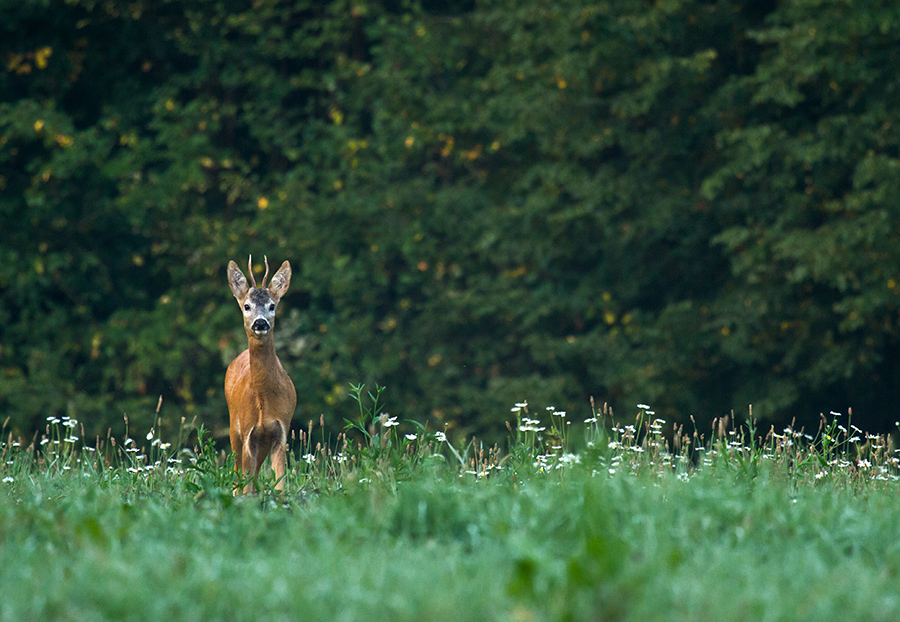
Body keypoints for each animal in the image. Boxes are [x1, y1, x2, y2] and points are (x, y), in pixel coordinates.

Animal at [224, 256, 298, 494]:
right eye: (247, 306)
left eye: (272, 305)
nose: (260, 323)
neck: (264, 401)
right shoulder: (249, 432)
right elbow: (245, 482)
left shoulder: (281, 430)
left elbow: (280, 484)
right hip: (234, 427)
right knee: (238, 473)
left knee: (254, 474)